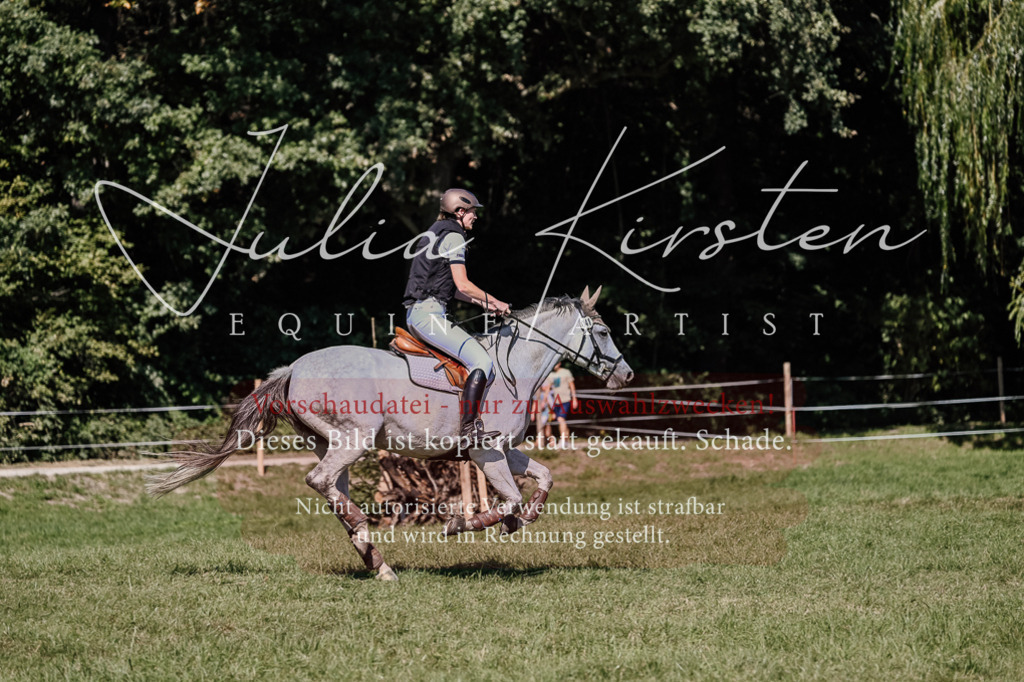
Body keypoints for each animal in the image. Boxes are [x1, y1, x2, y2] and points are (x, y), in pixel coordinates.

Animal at [147, 286, 633, 580]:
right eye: (604, 331)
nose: (626, 374)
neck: (514, 369)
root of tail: (293, 370)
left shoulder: (503, 452)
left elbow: (544, 479)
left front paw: (523, 519)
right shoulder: (487, 452)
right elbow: (508, 497)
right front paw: (466, 523)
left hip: (329, 443)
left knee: (332, 490)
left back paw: (374, 557)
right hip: (353, 440)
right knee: (319, 482)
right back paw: (368, 537)